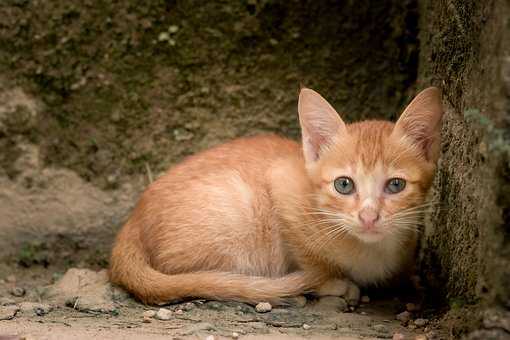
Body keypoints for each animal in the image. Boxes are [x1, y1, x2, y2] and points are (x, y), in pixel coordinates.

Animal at [108, 87, 442, 306]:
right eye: (344, 185)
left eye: (395, 185)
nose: (369, 217)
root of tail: (132, 223)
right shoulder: (281, 185)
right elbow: (312, 262)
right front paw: (332, 282)